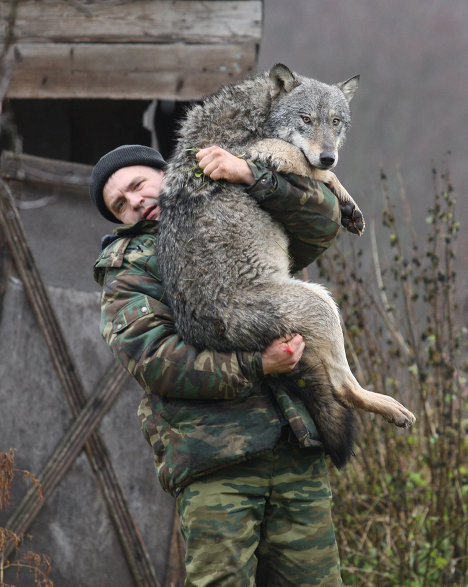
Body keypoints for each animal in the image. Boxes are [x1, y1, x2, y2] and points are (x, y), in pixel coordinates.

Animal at [158, 64, 416, 468]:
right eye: (306, 119)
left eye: (335, 122)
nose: (328, 155)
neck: (254, 117)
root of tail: (203, 335)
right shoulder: (261, 152)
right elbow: (310, 167)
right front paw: (342, 194)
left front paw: (348, 207)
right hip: (321, 304)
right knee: (343, 389)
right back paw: (392, 408)